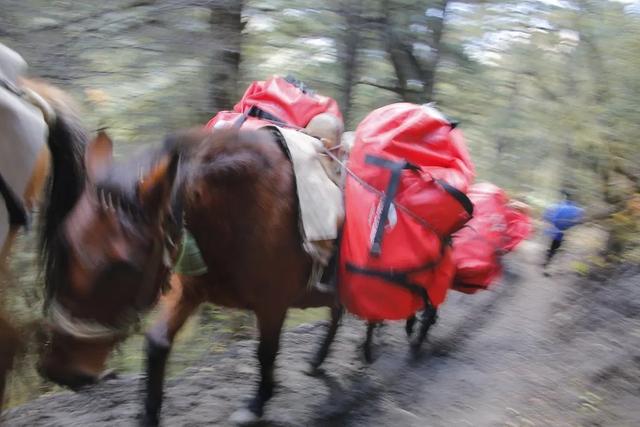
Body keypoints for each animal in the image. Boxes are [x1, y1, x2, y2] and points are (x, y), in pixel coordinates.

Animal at [37, 127, 344, 424]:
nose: (59, 369)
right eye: (65, 241)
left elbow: (265, 353)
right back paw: (319, 360)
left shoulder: (273, 305)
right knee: (337, 310)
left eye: (121, 267)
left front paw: (257, 404)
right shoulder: (188, 291)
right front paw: (148, 413)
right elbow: (157, 343)